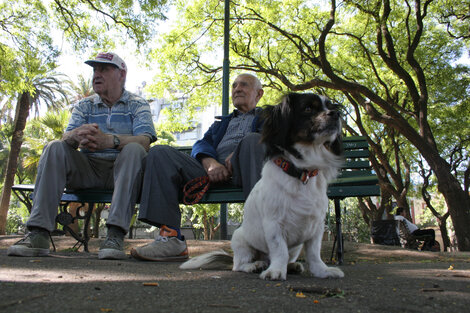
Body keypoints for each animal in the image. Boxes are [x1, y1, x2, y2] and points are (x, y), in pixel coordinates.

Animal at [179, 92, 342, 280]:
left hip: (296, 247)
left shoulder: (316, 227)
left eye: (330, 107)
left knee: (288, 257)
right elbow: (280, 251)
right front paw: (276, 271)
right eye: (308, 108)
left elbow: (314, 254)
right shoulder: (273, 225)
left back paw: (291, 266)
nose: (336, 114)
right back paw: (255, 265)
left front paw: (323, 271)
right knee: (239, 265)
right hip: (240, 240)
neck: (302, 174)